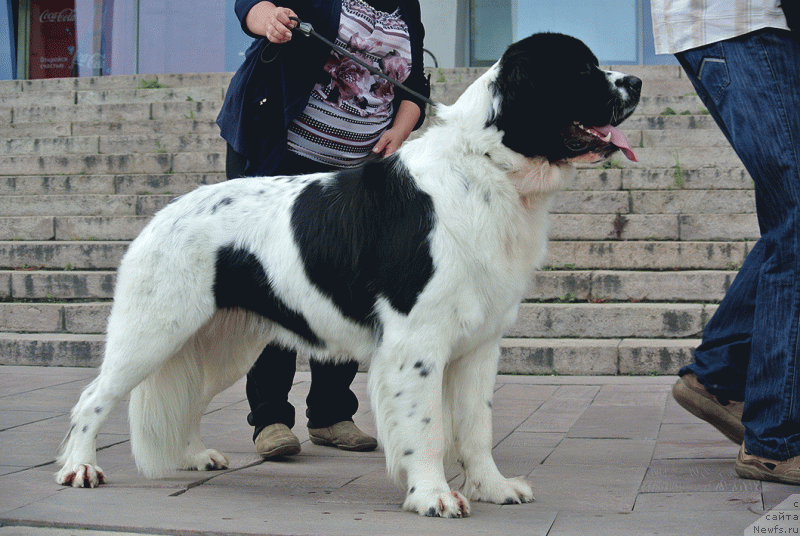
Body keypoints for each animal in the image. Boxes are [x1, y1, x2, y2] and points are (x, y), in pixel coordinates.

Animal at [56, 31, 640, 516]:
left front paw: (492, 488)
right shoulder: (417, 342)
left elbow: (477, 426)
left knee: (187, 398)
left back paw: (195, 456)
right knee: (93, 396)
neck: (485, 166)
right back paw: (79, 467)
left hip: (218, 342)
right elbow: (426, 427)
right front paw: (432, 496)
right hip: (155, 330)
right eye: (580, 70)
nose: (636, 81)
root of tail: (160, 217)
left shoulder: (479, 344)